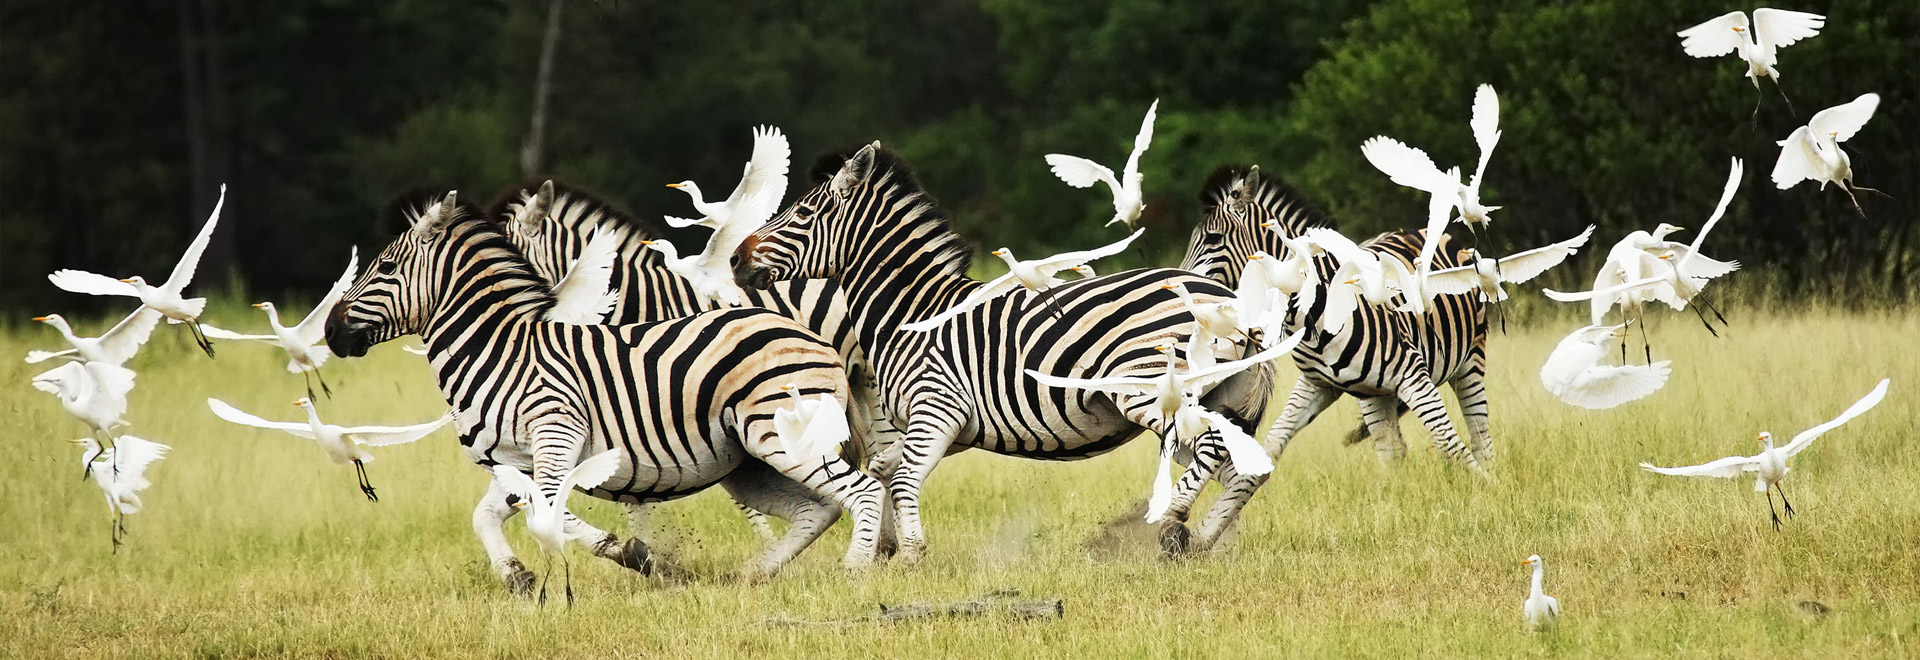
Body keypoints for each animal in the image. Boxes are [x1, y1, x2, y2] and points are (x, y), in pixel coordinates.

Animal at [328, 193, 890, 590]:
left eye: (384, 268)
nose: (331, 332)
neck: (500, 350)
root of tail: (814, 340)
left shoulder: (556, 432)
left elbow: (549, 510)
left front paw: (637, 555)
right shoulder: (513, 460)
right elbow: (485, 514)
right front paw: (517, 577)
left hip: (779, 438)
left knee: (862, 490)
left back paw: (856, 572)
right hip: (748, 461)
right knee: (817, 508)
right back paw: (751, 575)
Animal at [725, 142, 1282, 556]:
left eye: (802, 212)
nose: (732, 259)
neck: (910, 311)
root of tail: (1227, 298)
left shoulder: (937, 408)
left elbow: (903, 478)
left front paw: (910, 557)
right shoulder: (948, 427)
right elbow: (883, 470)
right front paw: (887, 549)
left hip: (1150, 389)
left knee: (1209, 449)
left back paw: (1171, 523)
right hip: (1221, 395)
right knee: (1239, 464)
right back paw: (1201, 539)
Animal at [1175, 164, 1489, 487]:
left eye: (1214, 239)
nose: (1178, 287)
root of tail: (1418, 230)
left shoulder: (1412, 373)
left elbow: (1449, 441)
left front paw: (1487, 489)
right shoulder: (1316, 384)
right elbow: (1274, 441)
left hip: (1471, 357)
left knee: (1479, 434)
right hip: (1375, 394)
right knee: (1393, 450)